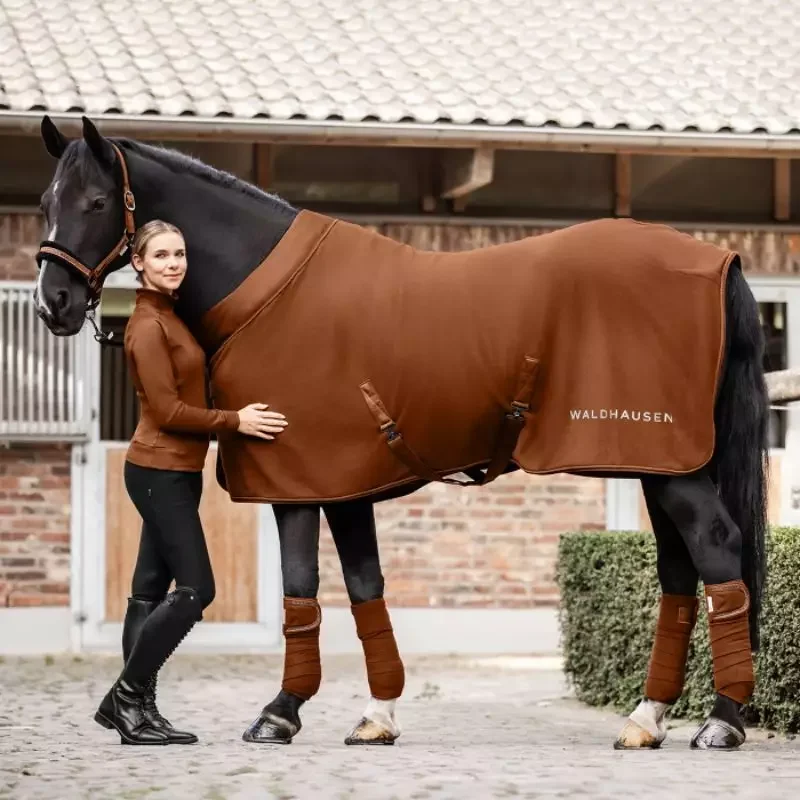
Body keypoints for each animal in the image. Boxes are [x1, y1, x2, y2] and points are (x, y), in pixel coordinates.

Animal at [33, 115, 769, 751]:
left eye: (97, 201)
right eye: (46, 201)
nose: (52, 305)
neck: (268, 291)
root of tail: (720, 261)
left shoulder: (296, 481)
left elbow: (302, 590)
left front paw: (279, 714)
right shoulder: (342, 484)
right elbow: (363, 590)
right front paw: (375, 715)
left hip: (671, 466)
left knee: (716, 548)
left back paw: (721, 721)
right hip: (663, 463)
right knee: (679, 569)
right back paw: (647, 718)